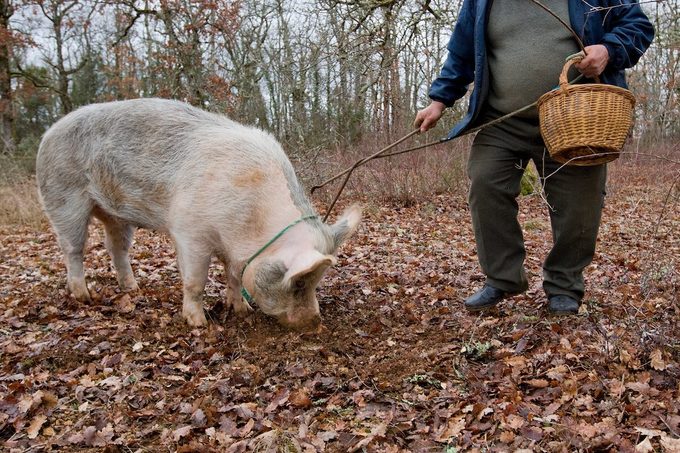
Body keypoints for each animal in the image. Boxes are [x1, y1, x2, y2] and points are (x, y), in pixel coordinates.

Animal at [36, 98, 361, 330]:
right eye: (298, 282)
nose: (314, 323)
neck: (251, 223)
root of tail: (49, 132)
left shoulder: (233, 249)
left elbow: (234, 276)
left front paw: (241, 311)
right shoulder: (189, 232)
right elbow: (195, 280)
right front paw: (199, 323)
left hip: (115, 216)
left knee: (116, 248)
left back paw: (133, 288)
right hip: (63, 198)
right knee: (73, 248)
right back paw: (84, 296)